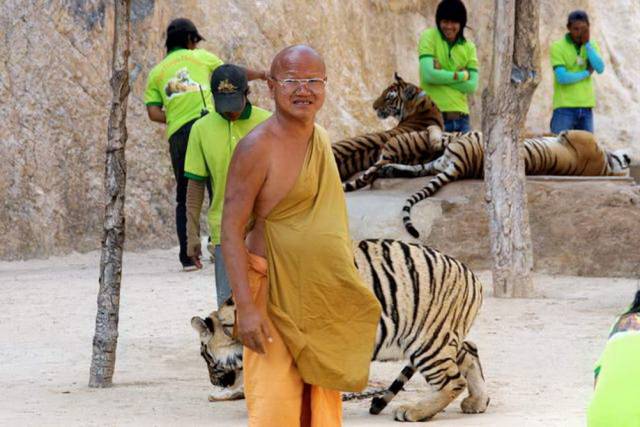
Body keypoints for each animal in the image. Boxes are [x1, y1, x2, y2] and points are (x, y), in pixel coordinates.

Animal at [192, 239, 488, 422]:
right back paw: (477, 402)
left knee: (452, 380)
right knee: (471, 352)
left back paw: (414, 412)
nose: (213, 381)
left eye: (204, 356)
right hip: (442, 336)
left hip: (428, 341)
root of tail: (474, 278)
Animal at [376, 131, 632, 237]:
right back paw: (387, 169)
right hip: (440, 161)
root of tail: (461, 167)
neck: (606, 167)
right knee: (418, 166)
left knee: (441, 137)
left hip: (469, 137)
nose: (628, 156)